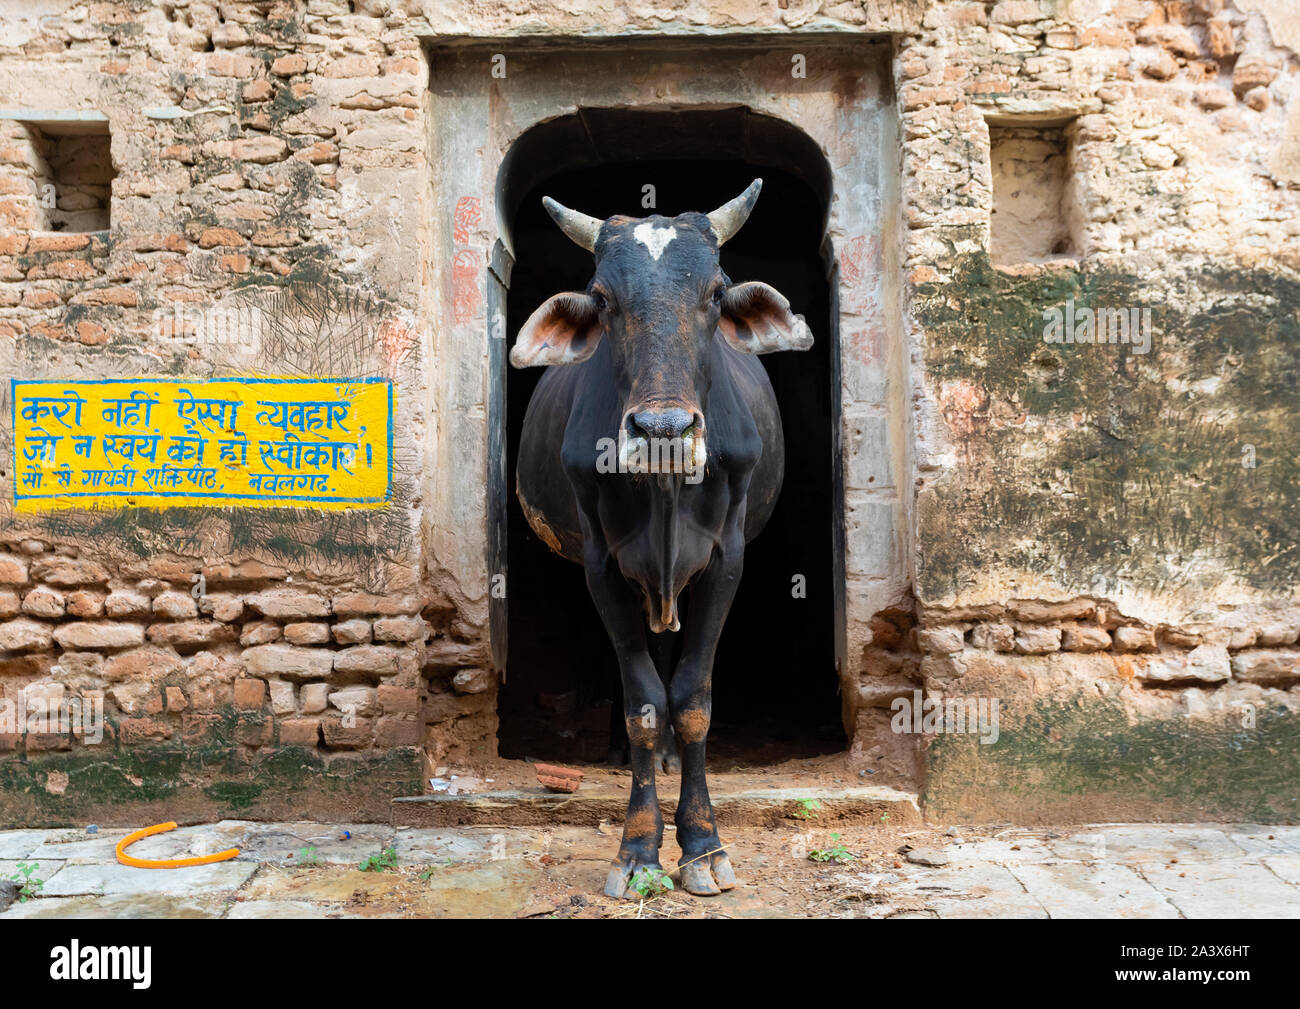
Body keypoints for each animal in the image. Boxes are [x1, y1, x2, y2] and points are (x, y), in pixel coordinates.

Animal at [510, 180, 812, 898]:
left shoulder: (727, 558)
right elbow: (644, 701)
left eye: (714, 293)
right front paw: (639, 848)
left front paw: (702, 844)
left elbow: (693, 697)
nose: (664, 429)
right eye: (604, 299)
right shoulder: (600, 563)